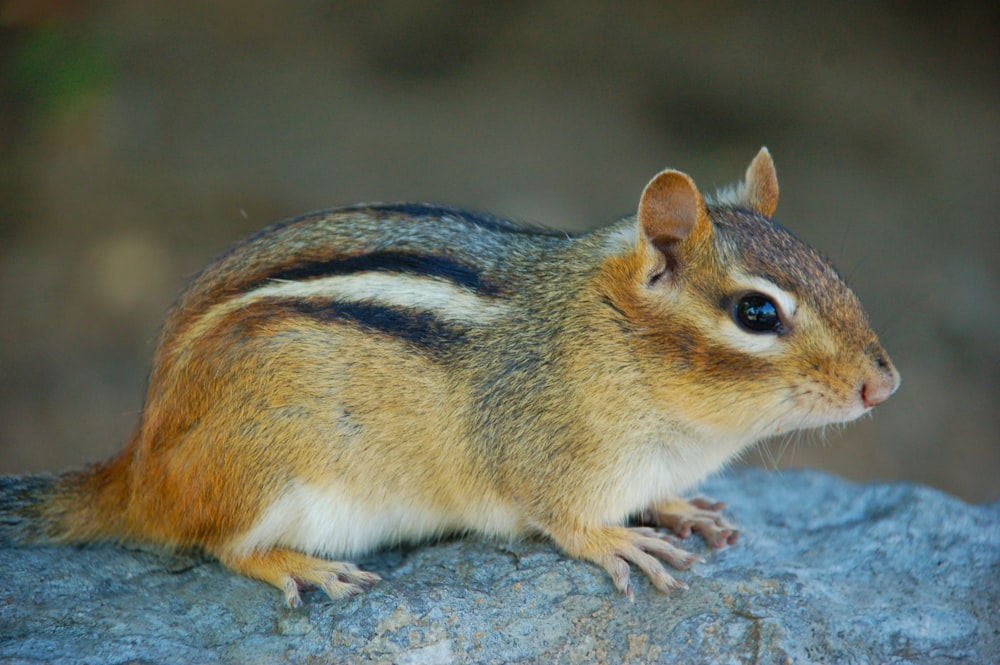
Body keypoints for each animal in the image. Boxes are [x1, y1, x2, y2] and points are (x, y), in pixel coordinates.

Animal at [0, 150, 900, 608]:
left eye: (830, 269)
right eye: (756, 312)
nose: (883, 385)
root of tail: (138, 467)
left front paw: (682, 508)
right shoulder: (548, 453)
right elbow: (564, 518)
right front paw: (617, 538)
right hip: (265, 467)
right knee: (218, 541)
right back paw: (298, 565)